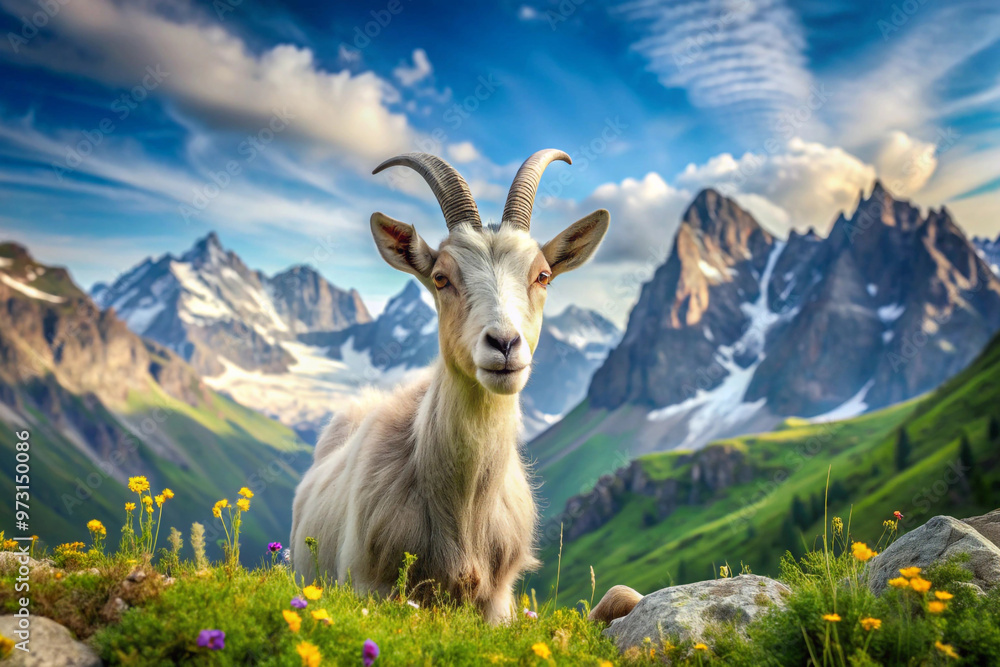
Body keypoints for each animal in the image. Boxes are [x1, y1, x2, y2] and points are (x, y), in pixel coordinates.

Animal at [290, 150, 609, 623]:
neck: (463, 511)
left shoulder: (498, 602)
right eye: (441, 277)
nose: (504, 344)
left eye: (543, 276)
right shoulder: (370, 586)